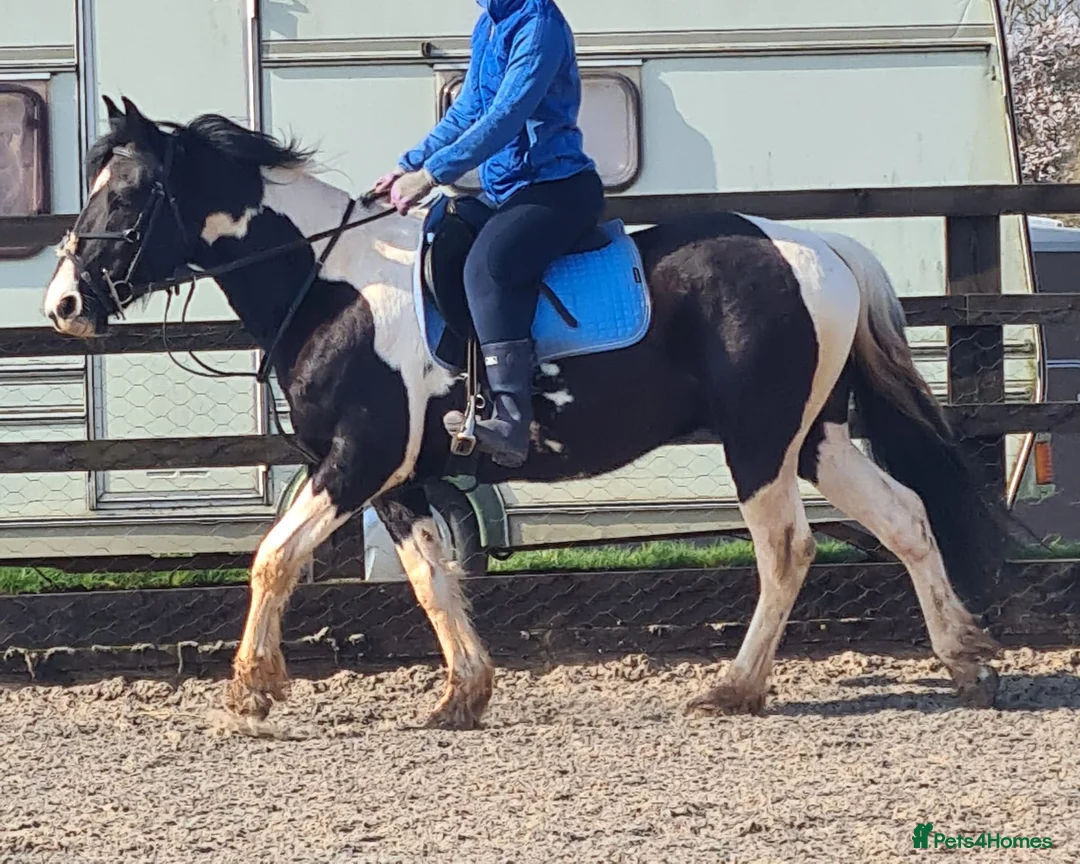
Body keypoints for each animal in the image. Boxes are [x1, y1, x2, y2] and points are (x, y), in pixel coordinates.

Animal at [43, 96, 1003, 729]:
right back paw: (965, 660)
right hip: (814, 438)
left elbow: (274, 559)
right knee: (906, 517)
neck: (332, 284)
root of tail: (820, 245)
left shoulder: (355, 458)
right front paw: (462, 694)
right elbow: (433, 580)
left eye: (126, 195)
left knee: (786, 549)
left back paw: (735, 689)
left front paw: (251, 687)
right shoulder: (398, 478)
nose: (63, 304)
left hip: (760, 442)